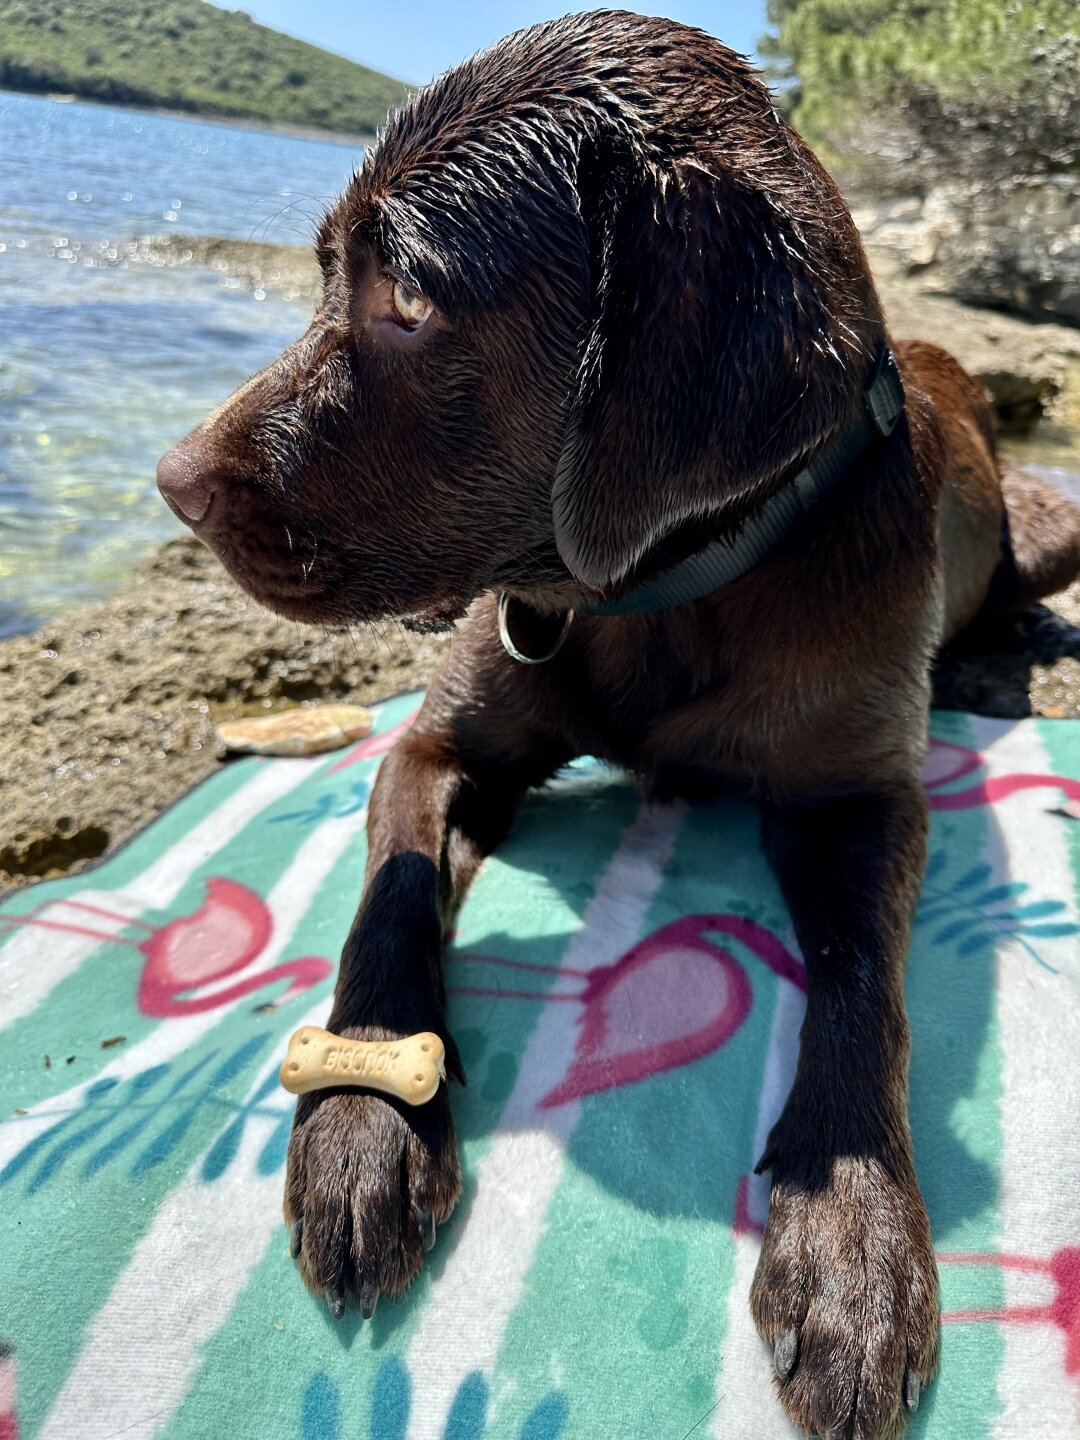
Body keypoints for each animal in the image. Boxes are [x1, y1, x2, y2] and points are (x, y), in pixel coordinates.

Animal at [156, 14, 1080, 1440]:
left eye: (406, 298)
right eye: (321, 274)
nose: (173, 485)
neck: (661, 596)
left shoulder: (864, 799)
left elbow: (863, 983)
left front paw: (851, 1230)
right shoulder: (437, 748)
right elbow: (392, 886)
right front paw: (365, 1112)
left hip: (1052, 524)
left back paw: (1007, 653)